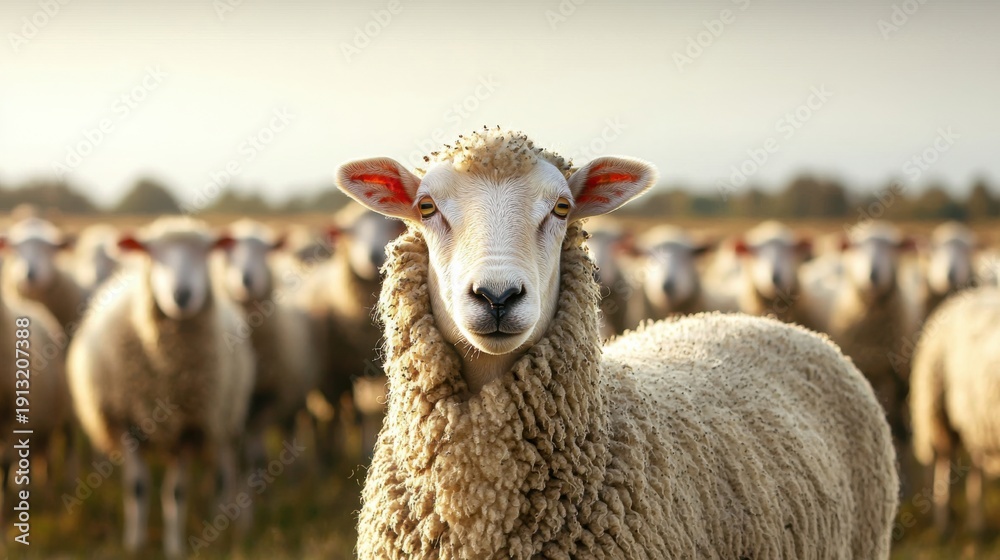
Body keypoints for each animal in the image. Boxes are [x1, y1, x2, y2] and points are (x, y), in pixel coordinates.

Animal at [66, 217, 255, 558]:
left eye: (205, 252)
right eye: (153, 253)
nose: (182, 294)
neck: (168, 368)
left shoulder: (190, 426)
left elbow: (178, 491)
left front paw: (174, 546)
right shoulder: (126, 419)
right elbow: (137, 487)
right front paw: (135, 542)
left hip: (224, 418)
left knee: (224, 469)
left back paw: (223, 515)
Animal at [909, 286, 1000, 535]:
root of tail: (963, 296)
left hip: (976, 417)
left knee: (976, 464)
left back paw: (977, 524)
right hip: (937, 407)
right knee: (944, 459)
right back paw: (945, 523)